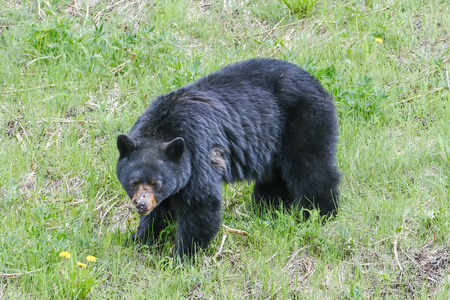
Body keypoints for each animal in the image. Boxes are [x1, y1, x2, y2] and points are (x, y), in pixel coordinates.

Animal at [118, 58, 340, 258]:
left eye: (156, 183)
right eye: (134, 181)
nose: (141, 205)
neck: (161, 129)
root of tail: (317, 82)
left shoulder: (198, 153)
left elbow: (201, 205)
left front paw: (183, 256)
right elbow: (161, 211)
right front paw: (138, 240)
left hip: (305, 120)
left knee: (311, 169)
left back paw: (321, 214)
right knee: (274, 180)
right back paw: (268, 211)